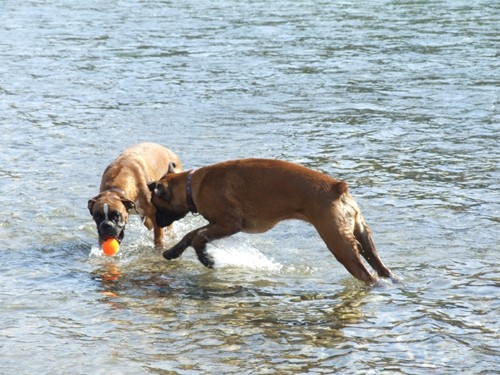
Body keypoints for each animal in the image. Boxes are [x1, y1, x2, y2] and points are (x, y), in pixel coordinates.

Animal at [146, 159, 392, 284]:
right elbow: (191, 235)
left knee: (367, 275)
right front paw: (173, 252)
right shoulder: (218, 225)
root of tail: (337, 188)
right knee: (381, 268)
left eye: (156, 205)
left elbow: (197, 237)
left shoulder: (228, 224)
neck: (192, 184)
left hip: (339, 244)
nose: (157, 222)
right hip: (361, 238)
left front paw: (207, 259)